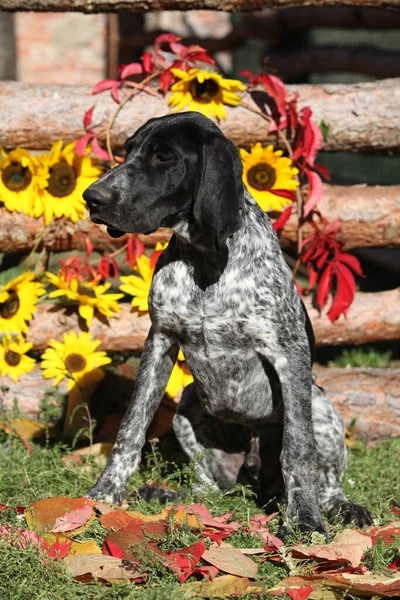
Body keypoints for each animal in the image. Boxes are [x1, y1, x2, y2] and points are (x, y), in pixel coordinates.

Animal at [83, 112, 374, 536]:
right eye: (128, 150)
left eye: (163, 157)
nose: (92, 198)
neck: (205, 260)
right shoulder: (160, 340)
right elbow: (130, 428)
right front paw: (104, 494)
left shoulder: (288, 352)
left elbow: (298, 448)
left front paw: (304, 520)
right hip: (189, 405)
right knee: (210, 489)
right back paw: (165, 494)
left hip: (320, 406)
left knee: (327, 482)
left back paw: (339, 507)